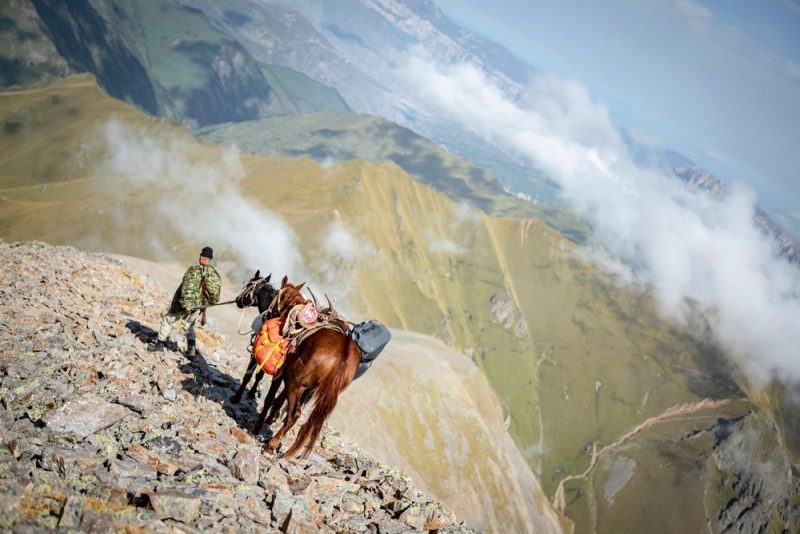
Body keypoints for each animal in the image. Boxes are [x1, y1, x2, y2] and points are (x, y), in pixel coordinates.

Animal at [234, 276, 360, 456]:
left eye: (248, 284)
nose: (238, 300)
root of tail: (344, 352)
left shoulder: (280, 374)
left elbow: (267, 396)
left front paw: (256, 426)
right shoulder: (287, 376)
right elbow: (278, 401)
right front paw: (269, 420)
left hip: (296, 384)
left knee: (295, 415)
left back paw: (271, 446)